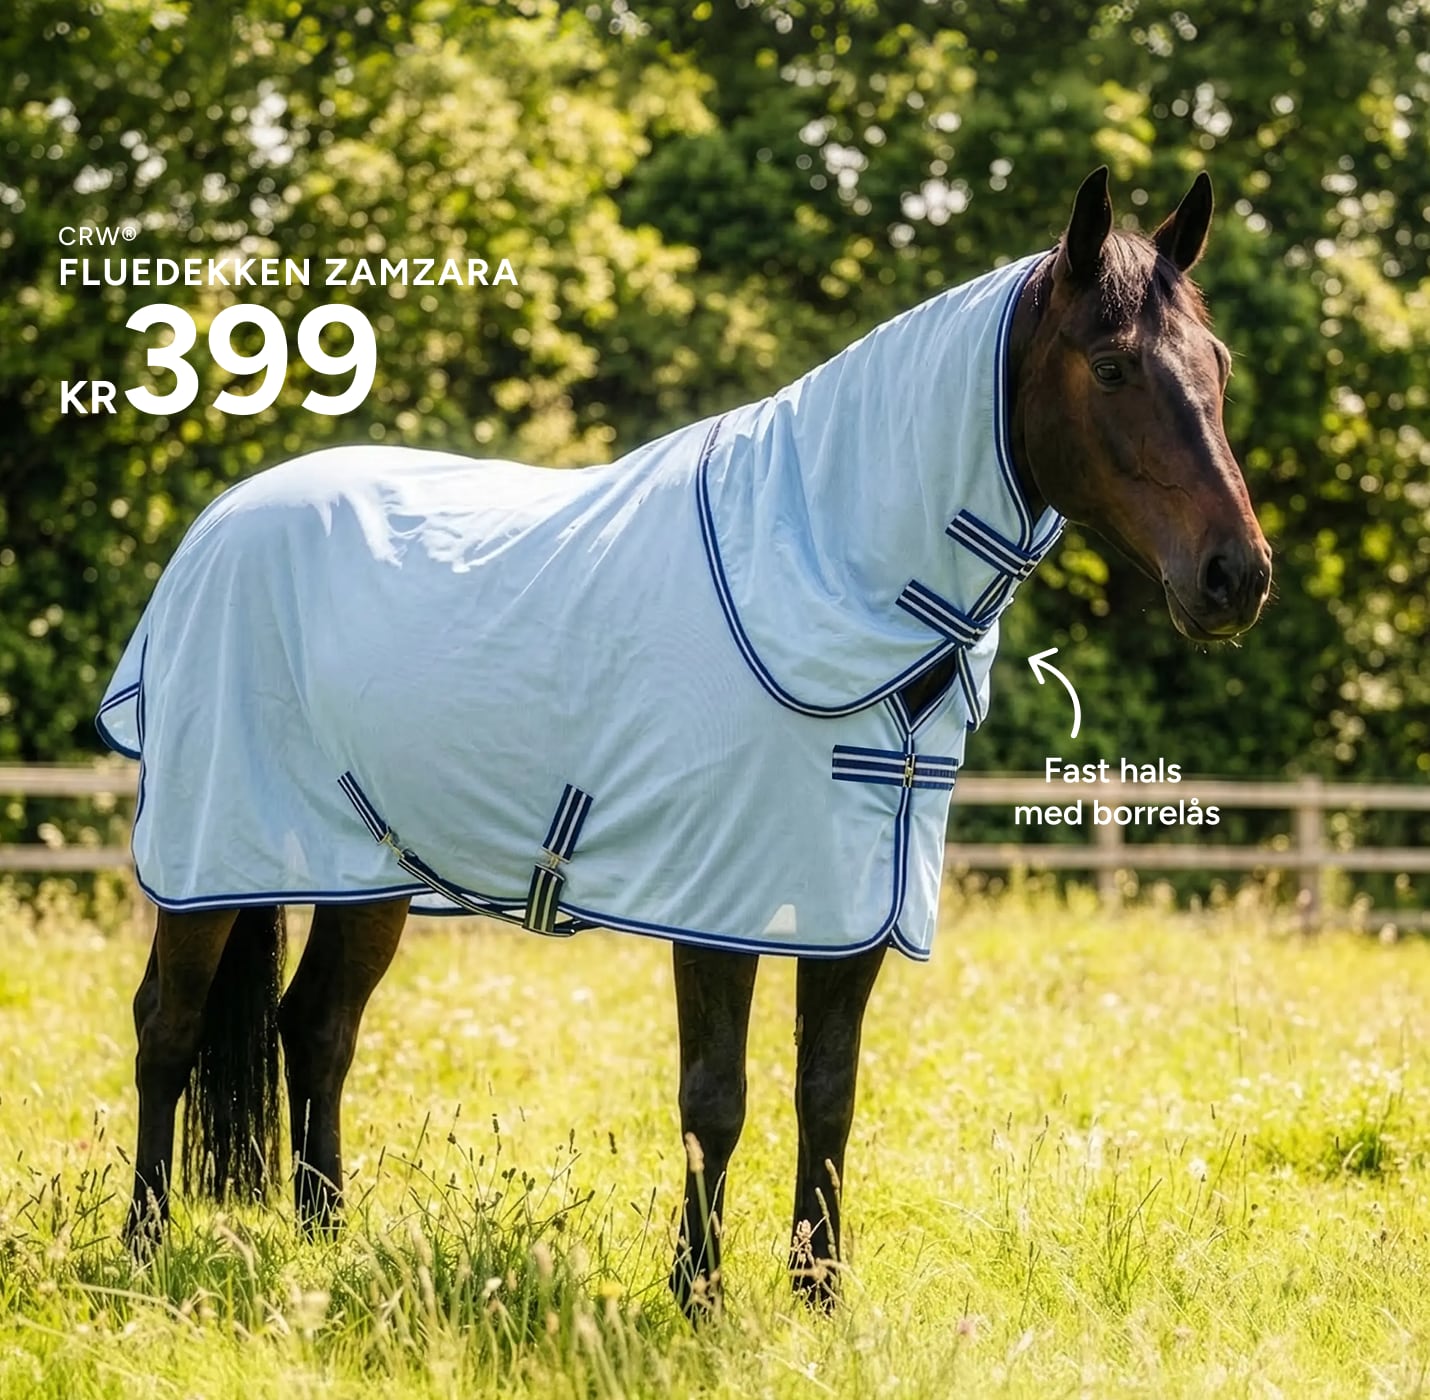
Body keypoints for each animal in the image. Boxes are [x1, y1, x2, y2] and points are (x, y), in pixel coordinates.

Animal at [101, 167, 1270, 1315]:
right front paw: (697, 1292)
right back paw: (145, 1248)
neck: (824, 561)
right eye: (1112, 366)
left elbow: (827, 1094)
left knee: (317, 1027)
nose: (1237, 576)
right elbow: (717, 1096)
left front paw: (818, 1296)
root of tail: (217, 523)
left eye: (1214, 366)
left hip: (366, 866)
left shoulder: (851, 904)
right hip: (211, 852)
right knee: (167, 1025)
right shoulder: (719, 902)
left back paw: (327, 1244)